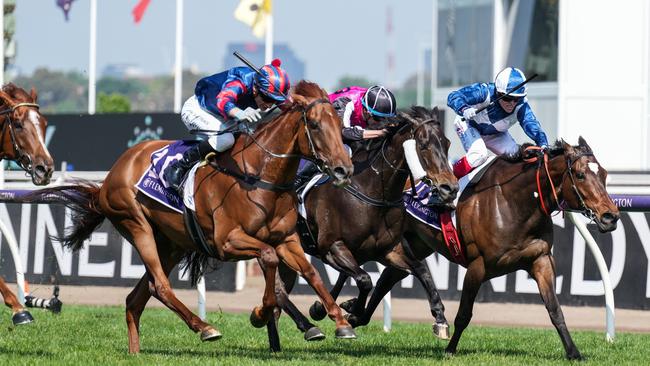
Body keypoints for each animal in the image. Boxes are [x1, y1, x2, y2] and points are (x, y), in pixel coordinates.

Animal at [24, 81, 354, 354]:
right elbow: (270, 259)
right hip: (136, 224)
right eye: (315, 125)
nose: (343, 169)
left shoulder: (287, 239)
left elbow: (310, 272)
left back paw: (136, 351)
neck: (259, 176)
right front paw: (260, 314)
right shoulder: (227, 241)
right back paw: (205, 327)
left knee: (136, 297)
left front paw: (340, 321)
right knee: (160, 286)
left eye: (339, 125)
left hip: (172, 243)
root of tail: (110, 176)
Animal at [270, 106, 458, 344]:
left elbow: (422, 271)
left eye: (447, 143)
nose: (450, 188)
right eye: (423, 144)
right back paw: (310, 326)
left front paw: (440, 319)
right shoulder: (332, 248)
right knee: (278, 291)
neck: (372, 190)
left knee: (278, 291)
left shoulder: (388, 250)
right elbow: (364, 279)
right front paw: (351, 312)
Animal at [346, 138, 616, 360]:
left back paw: (356, 315)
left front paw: (573, 352)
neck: (514, 203)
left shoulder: (540, 260)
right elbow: (464, 313)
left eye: (603, 173)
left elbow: (555, 310)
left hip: (414, 243)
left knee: (388, 278)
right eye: (580, 175)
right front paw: (450, 350)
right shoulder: (478, 265)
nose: (610, 216)